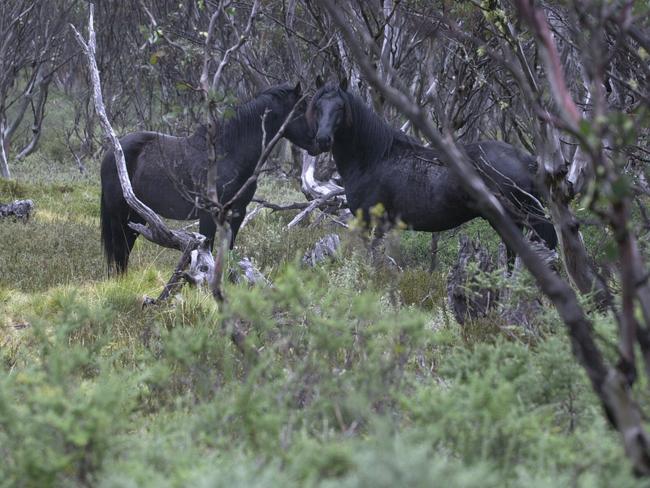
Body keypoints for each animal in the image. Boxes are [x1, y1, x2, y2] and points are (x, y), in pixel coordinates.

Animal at [100, 84, 316, 274]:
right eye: (301, 108)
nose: (319, 141)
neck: (228, 155)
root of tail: (112, 151)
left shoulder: (237, 213)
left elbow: (227, 252)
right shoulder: (209, 215)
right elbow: (207, 253)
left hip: (136, 216)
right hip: (120, 214)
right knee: (119, 251)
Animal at [306, 78, 556, 254]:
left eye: (340, 107)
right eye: (317, 106)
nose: (323, 139)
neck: (373, 158)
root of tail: (528, 160)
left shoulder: (372, 225)